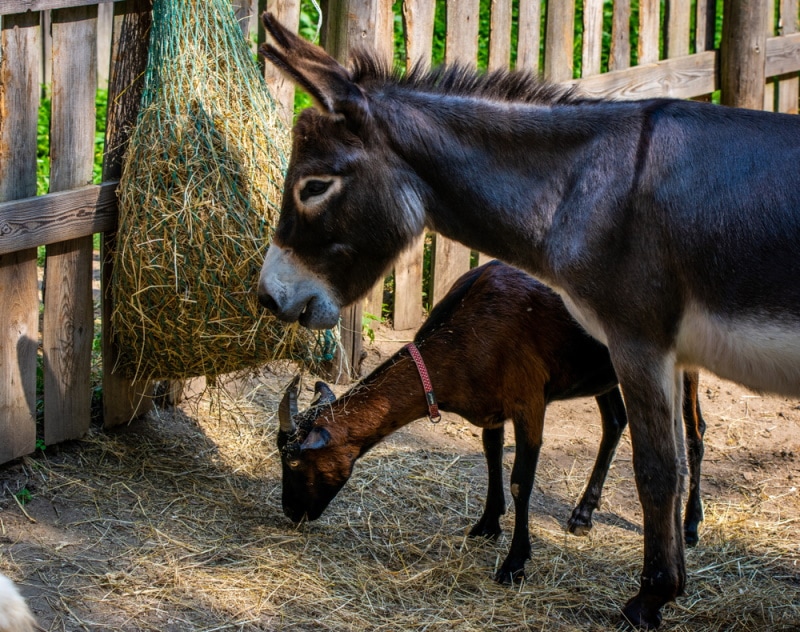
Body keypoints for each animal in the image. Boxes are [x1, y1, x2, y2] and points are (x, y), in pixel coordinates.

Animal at [278, 262, 704, 584]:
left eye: (295, 460)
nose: (292, 512)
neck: (468, 329)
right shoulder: (490, 405)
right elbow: (491, 456)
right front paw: (486, 524)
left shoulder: (530, 400)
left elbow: (520, 481)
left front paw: (514, 563)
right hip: (605, 369)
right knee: (615, 420)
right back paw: (582, 515)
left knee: (695, 432)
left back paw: (690, 526)